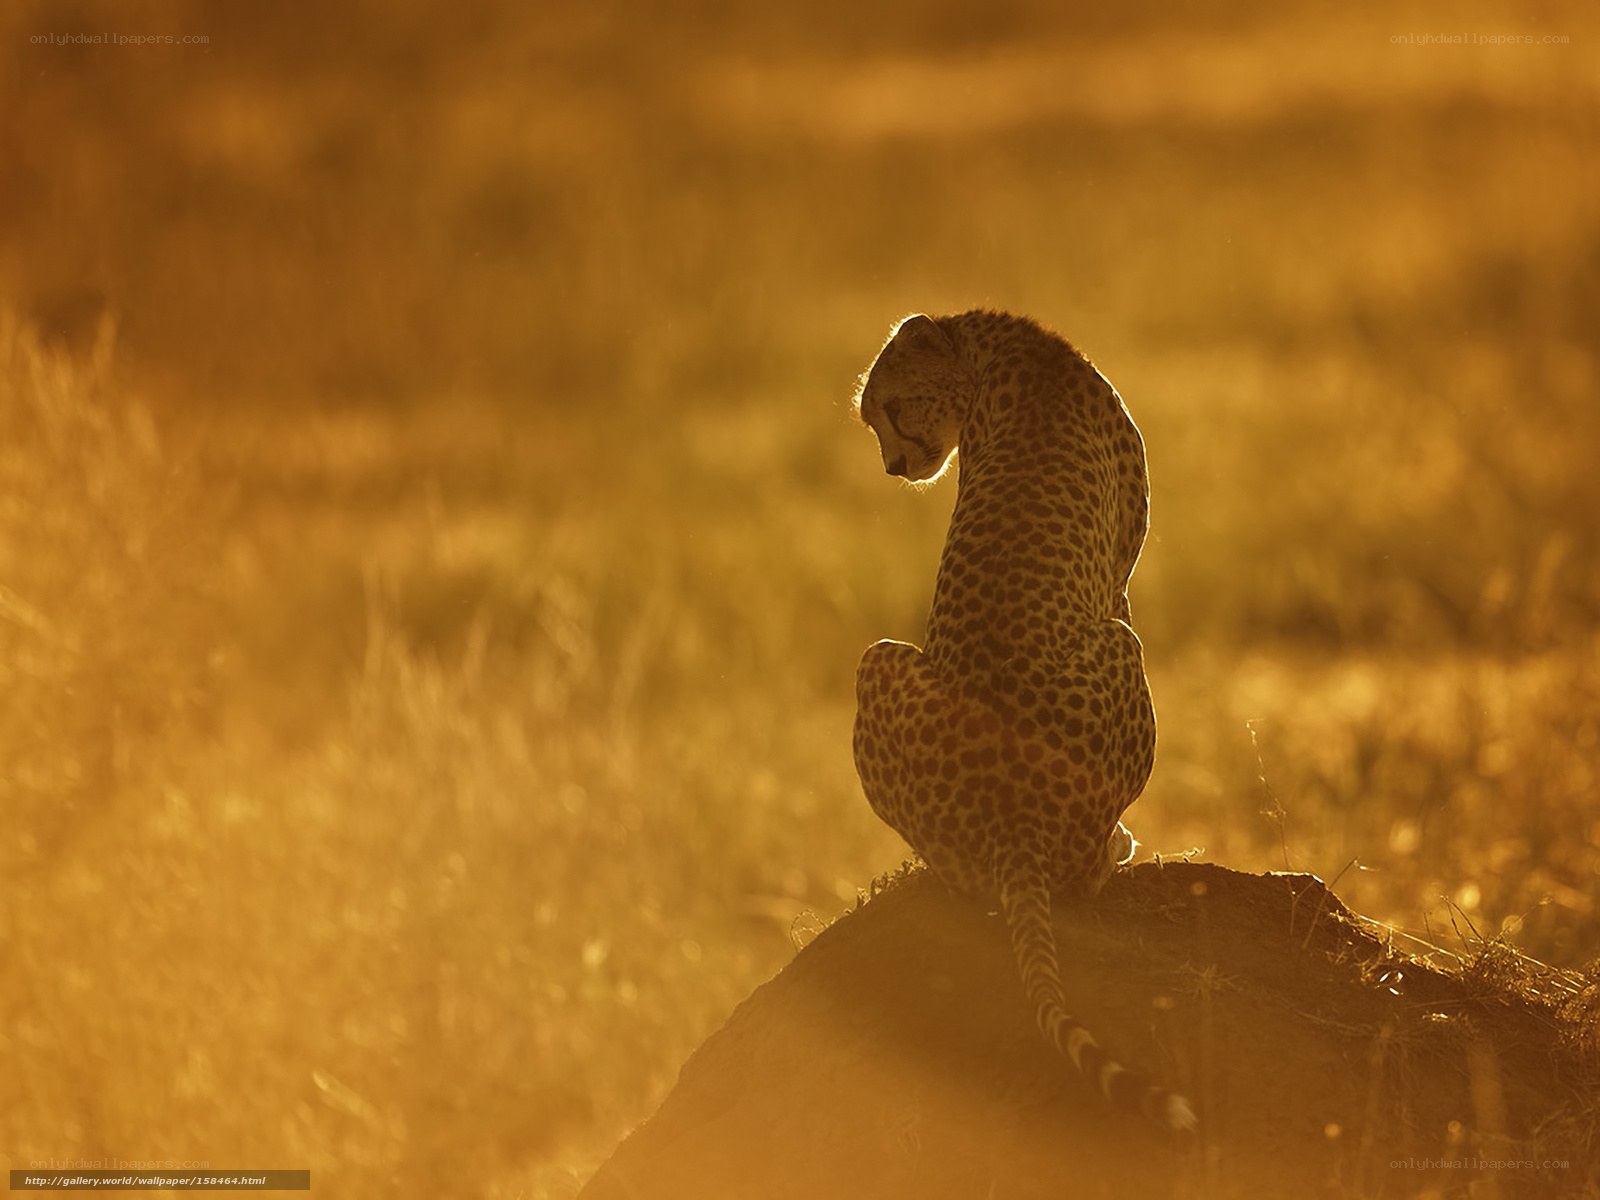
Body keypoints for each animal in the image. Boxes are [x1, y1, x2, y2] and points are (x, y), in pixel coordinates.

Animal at [850, 309, 1196, 1133]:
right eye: (874, 418)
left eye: (893, 408)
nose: (893, 466)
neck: (987, 346)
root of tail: (1014, 823)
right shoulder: (1119, 582)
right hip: (1119, 647)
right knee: (1077, 877)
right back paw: (1118, 850)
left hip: (876, 663)